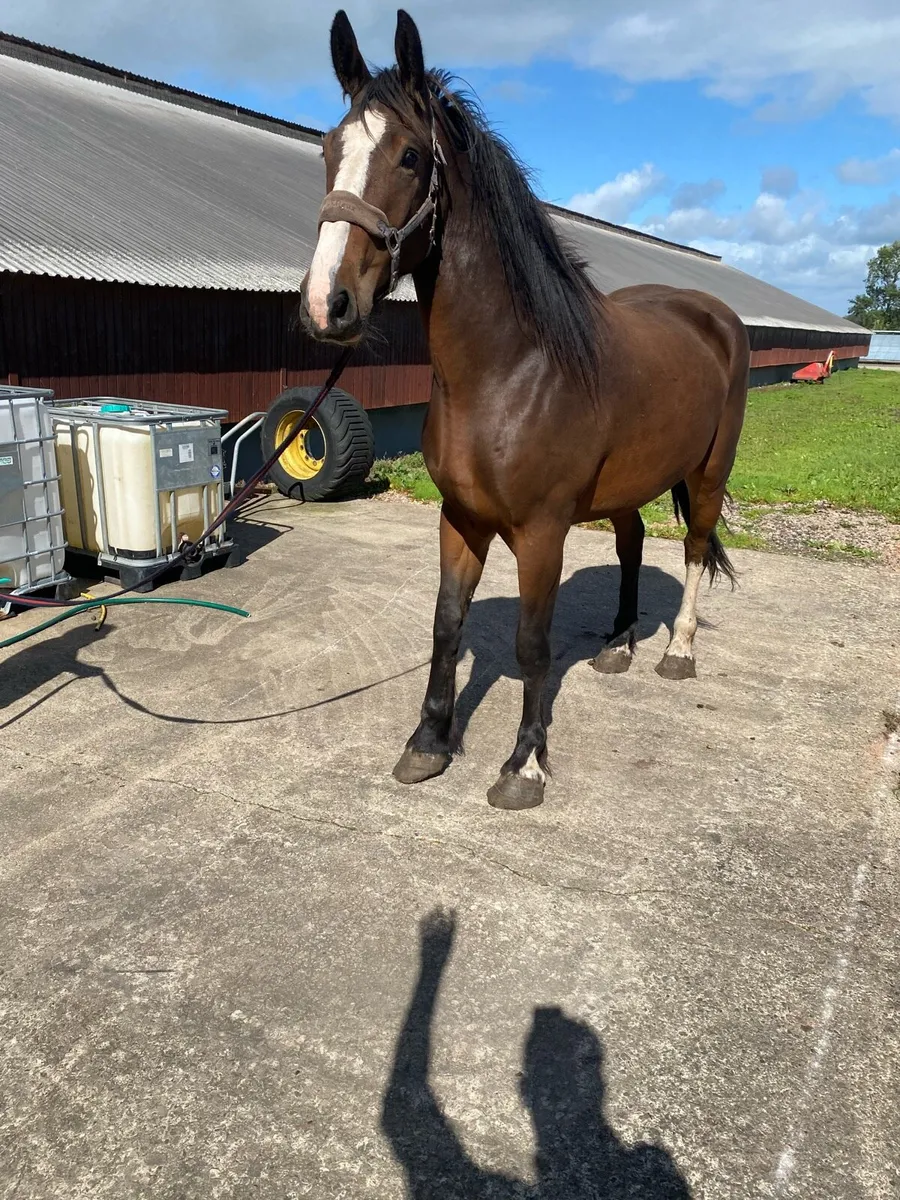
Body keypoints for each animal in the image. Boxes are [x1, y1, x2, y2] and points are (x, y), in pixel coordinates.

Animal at [299, 9, 749, 810]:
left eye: (409, 156)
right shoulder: (461, 519)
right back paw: (619, 646)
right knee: (633, 545)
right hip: (629, 485)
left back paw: (678, 651)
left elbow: (532, 645)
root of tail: (712, 314)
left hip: (708, 472)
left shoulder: (541, 532)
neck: (507, 372)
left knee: (696, 548)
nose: (328, 305)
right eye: (329, 149)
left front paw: (524, 765)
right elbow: (446, 626)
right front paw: (427, 743)